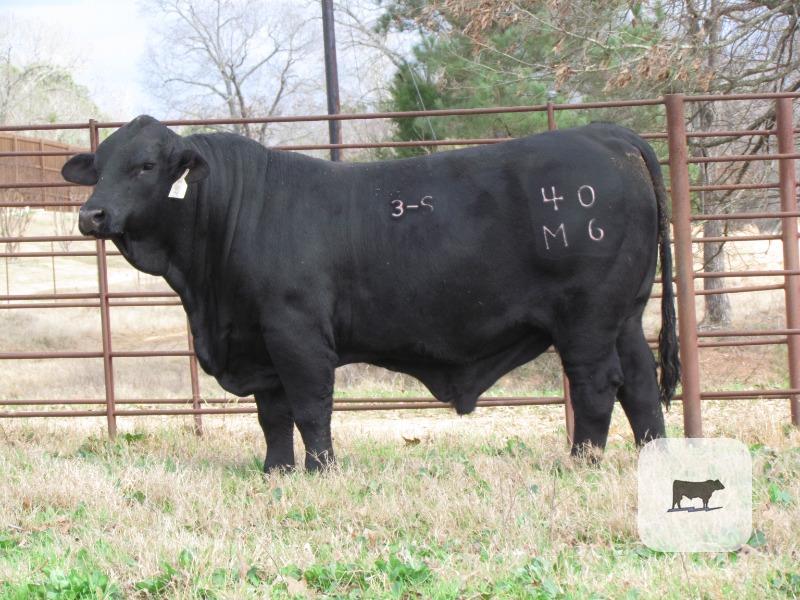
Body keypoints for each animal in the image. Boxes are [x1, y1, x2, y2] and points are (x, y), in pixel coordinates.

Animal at [61, 115, 680, 472]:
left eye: (145, 165)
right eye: (100, 166)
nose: (92, 215)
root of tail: (609, 134)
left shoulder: (296, 333)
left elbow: (310, 406)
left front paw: (320, 471)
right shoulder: (259, 341)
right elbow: (272, 414)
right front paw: (276, 471)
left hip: (587, 317)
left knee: (599, 385)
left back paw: (580, 462)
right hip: (626, 314)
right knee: (641, 385)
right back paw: (654, 459)